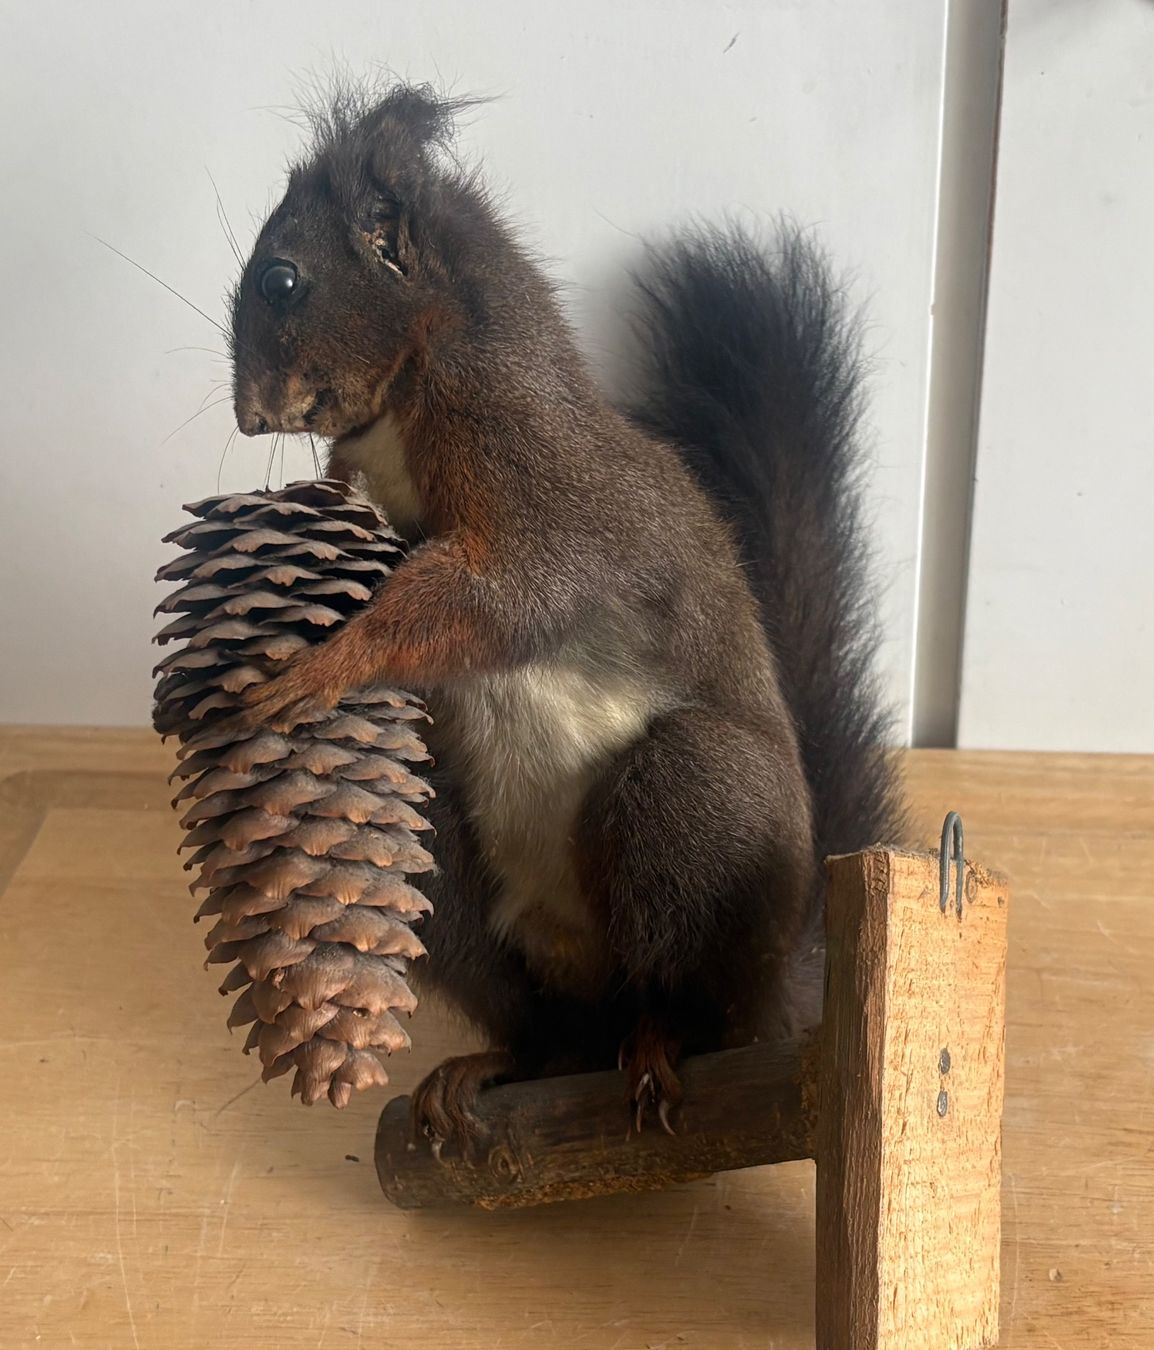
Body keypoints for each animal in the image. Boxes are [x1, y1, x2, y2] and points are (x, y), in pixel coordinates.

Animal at [228, 83, 905, 1144]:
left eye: (283, 279)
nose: (248, 414)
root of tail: (789, 989)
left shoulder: (538, 481)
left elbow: (496, 599)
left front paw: (322, 663)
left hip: (695, 809)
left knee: (695, 997)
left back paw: (662, 1045)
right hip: (453, 872)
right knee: (545, 1025)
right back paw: (501, 1066)